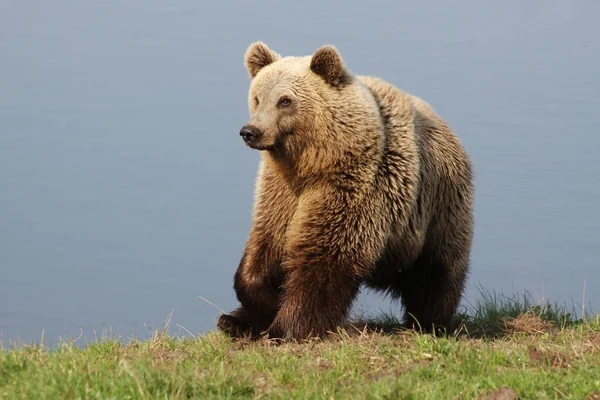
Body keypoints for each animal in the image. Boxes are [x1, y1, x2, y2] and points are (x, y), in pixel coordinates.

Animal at [218, 42, 476, 340]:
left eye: (285, 101)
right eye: (258, 97)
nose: (251, 131)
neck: (311, 164)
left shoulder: (353, 186)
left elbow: (325, 258)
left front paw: (285, 328)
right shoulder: (280, 191)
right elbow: (265, 245)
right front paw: (258, 307)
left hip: (439, 206)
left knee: (437, 273)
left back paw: (429, 323)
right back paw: (230, 320)